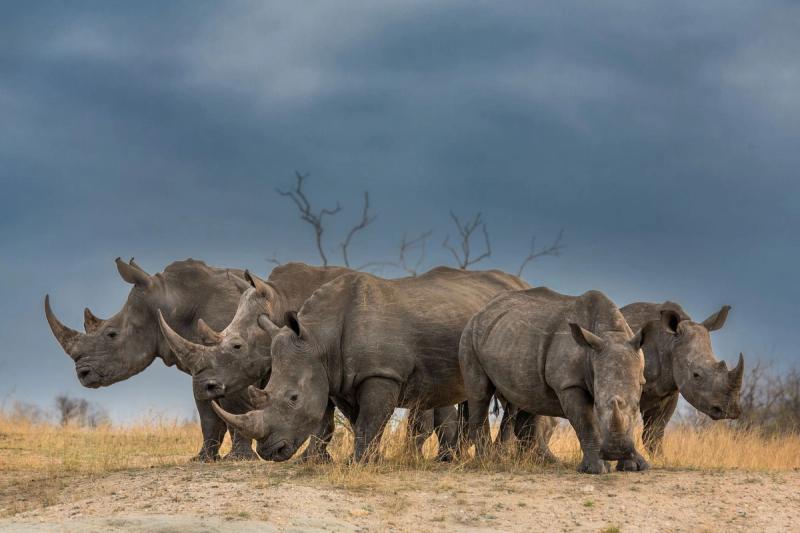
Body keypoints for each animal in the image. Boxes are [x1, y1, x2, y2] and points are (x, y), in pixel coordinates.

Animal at [44, 258, 348, 461]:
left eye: (111, 334)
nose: (82, 374)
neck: (172, 302)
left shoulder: (234, 363)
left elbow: (234, 407)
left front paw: (238, 459)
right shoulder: (205, 369)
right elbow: (208, 414)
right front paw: (203, 459)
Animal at [157, 269, 465, 461]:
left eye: (236, 347)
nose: (204, 386)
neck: (283, 303)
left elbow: (325, 417)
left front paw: (314, 459)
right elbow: (328, 417)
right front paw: (319, 459)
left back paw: (443, 458)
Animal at [211, 267, 530, 462]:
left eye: (293, 398)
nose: (269, 451)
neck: (318, 338)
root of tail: (520, 283)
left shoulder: (380, 373)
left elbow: (370, 419)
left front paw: (357, 462)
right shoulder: (339, 378)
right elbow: (360, 421)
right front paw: (370, 459)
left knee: (508, 397)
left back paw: (499, 457)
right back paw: (457, 459)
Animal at [460, 288, 648, 474]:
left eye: (637, 405)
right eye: (597, 406)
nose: (616, 452)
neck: (612, 334)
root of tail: (481, 310)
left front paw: (635, 466)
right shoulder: (569, 384)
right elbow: (586, 422)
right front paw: (598, 469)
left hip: (510, 341)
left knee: (528, 398)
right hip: (469, 336)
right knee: (480, 395)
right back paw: (486, 462)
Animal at [504, 301, 744, 466]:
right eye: (696, 375)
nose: (730, 410)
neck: (669, 343)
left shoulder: (670, 390)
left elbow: (654, 433)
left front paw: (661, 460)